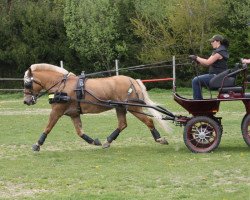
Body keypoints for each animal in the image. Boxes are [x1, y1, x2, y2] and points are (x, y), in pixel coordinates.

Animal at [23, 63, 169, 151]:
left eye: (27, 84)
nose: (26, 101)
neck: (61, 85)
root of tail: (132, 80)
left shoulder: (57, 111)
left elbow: (48, 127)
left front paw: (37, 144)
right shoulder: (74, 114)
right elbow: (79, 132)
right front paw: (94, 141)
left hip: (134, 107)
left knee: (148, 121)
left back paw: (159, 139)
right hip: (120, 107)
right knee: (122, 124)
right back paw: (107, 141)